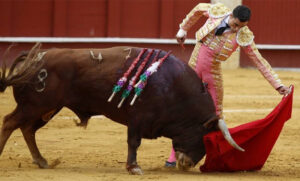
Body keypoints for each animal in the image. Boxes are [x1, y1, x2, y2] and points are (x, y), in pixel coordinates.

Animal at [0, 43, 243, 174]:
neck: (173, 86)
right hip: (35, 105)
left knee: (27, 129)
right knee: (10, 122)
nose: (187, 165)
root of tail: (34, 58)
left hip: (46, 108)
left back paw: (41, 161)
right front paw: (133, 167)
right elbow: (133, 142)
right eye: (203, 137)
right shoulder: (138, 118)